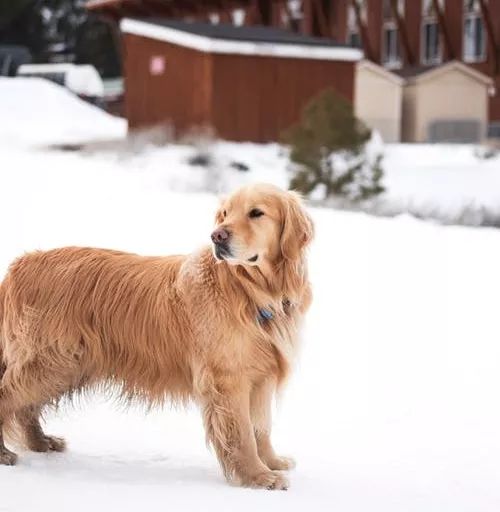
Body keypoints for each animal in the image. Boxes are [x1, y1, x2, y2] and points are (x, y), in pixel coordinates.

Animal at [0, 183, 312, 488]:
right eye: (224, 214)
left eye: (256, 213)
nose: (217, 236)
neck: (250, 291)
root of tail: (20, 265)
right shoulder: (228, 379)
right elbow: (244, 433)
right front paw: (258, 476)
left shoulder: (262, 375)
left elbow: (262, 427)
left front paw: (271, 462)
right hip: (52, 362)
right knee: (9, 397)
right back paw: (5, 453)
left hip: (66, 366)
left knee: (26, 408)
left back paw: (41, 442)